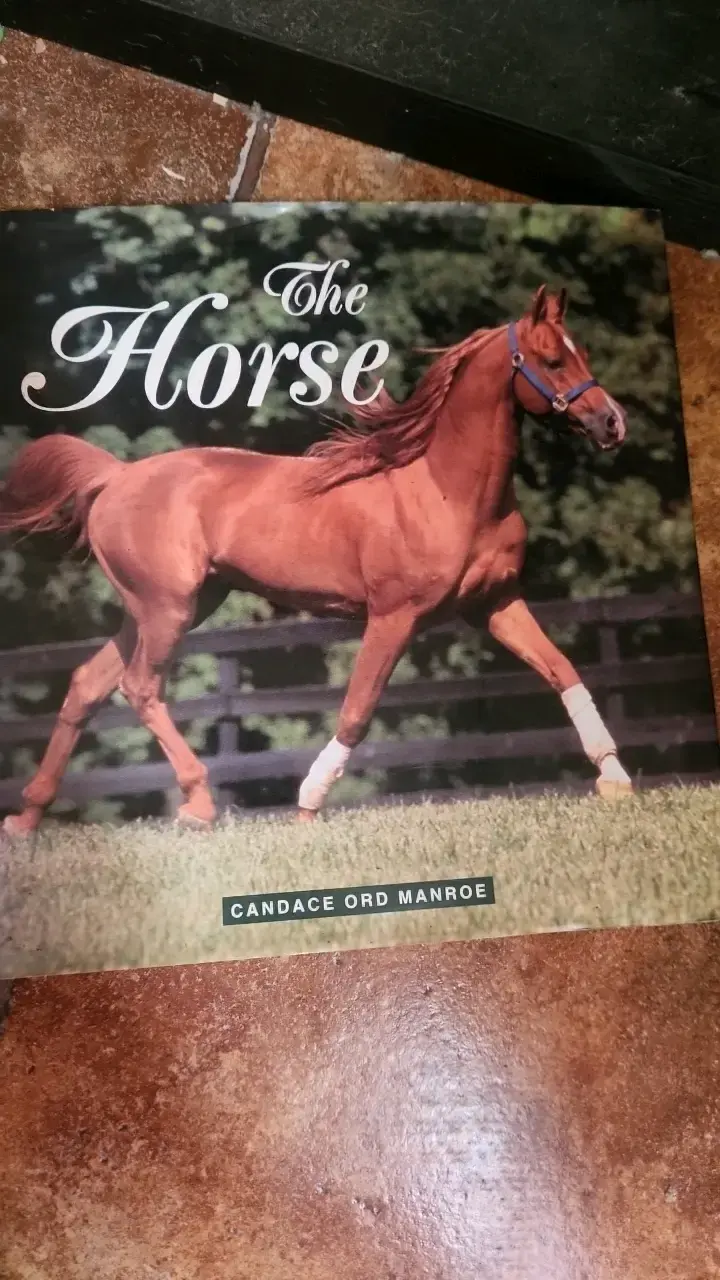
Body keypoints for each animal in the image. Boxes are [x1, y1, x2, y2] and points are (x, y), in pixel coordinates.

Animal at [0, 285, 632, 836]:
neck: (448, 490)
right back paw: (198, 804)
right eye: (552, 359)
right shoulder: (394, 616)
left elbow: (563, 670)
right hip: (167, 608)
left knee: (87, 684)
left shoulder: (495, 603)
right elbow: (357, 709)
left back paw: (26, 819)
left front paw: (616, 780)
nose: (612, 423)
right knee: (139, 687)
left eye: (581, 352)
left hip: (172, 605)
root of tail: (117, 476)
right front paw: (306, 806)